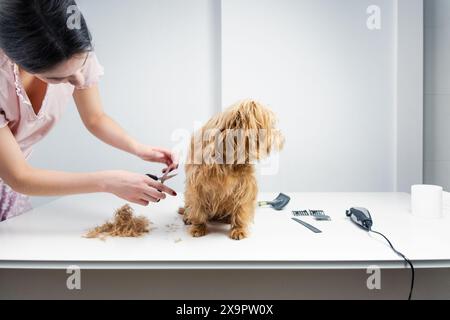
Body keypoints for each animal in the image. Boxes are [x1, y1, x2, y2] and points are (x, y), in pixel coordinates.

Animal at [179, 100, 284, 240]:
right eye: (271, 125)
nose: (282, 137)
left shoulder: (245, 184)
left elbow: (241, 207)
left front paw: (238, 229)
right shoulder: (196, 185)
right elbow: (197, 208)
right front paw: (198, 226)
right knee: (189, 206)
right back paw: (187, 217)